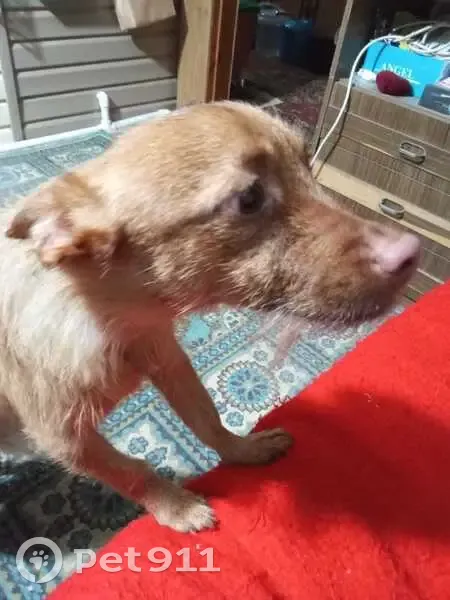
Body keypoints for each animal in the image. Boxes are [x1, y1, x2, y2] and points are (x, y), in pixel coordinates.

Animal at [0, 102, 420, 532]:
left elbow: (207, 416)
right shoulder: (65, 439)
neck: (112, 321)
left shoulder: (170, 360)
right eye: (249, 198)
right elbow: (133, 472)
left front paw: (243, 449)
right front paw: (178, 507)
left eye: (307, 161)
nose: (411, 253)